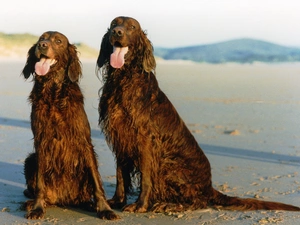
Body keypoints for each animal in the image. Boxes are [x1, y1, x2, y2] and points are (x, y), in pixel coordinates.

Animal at [21, 31, 118, 220]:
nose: (41, 45)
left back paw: (89, 204)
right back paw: (31, 203)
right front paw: (37, 208)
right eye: (41, 38)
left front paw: (104, 209)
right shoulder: (41, 142)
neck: (53, 93)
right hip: (31, 159)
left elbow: (97, 182)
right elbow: (40, 183)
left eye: (58, 41)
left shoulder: (84, 142)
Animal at [96, 16, 300, 214]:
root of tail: (208, 186)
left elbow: (146, 177)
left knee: (198, 201)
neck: (124, 79)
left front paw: (140, 205)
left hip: (169, 165)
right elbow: (120, 175)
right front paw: (116, 201)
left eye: (132, 27)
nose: (117, 32)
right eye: (114, 23)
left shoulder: (145, 140)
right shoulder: (120, 136)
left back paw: (169, 205)